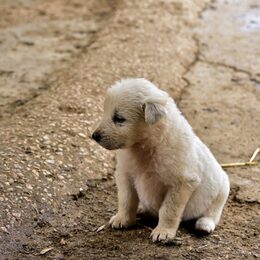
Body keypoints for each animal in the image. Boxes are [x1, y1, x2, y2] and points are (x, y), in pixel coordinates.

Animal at [92, 78, 230, 243]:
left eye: (119, 118)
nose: (94, 136)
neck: (147, 146)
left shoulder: (182, 182)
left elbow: (168, 209)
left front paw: (163, 232)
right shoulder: (125, 174)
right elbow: (126, 199)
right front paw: (122, 219)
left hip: (222, 191)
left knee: (213, 213)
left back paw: (204, 225)